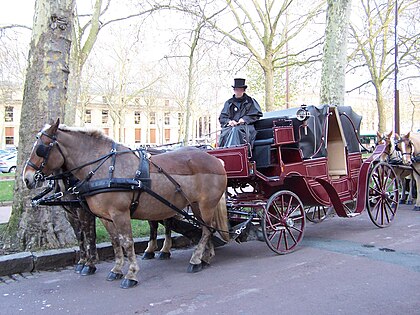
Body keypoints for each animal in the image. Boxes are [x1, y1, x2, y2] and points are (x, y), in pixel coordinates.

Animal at [23, 119, 230, 290]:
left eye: (41, 148)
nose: (27, 178)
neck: (105, 169)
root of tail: (217, 160)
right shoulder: (105, 217)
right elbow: (114, 242)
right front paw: (115, 269)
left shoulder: (118, 213)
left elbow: (126, 242)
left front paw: (130, 274)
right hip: (195, 205)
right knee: (207, 228)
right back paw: (205, 257)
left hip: (206, 205)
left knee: (206, 230)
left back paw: (195, 259)